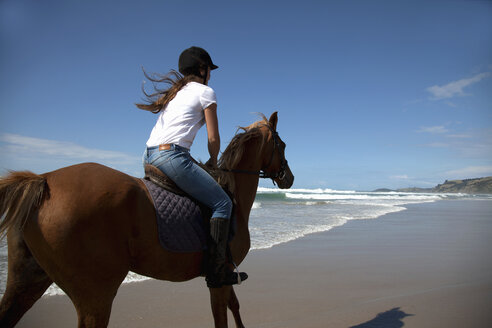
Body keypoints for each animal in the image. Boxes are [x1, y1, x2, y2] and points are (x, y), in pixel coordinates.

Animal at [0, 111, 292, 326]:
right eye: (283, 145)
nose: (289, 178)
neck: (232, 196)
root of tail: (43, 179)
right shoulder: (219, 277)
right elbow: (223, 314)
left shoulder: (225, 274)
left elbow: (234, 305)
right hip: (95, 296)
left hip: (28, 281)